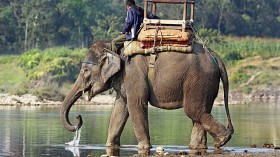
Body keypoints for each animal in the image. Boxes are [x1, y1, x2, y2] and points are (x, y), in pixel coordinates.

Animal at [60, 40, 234, 150]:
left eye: (85, 70)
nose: (78, 117)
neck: (113, 47)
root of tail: (214, 54)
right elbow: (120, 108)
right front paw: (110, 145)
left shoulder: (133, 73)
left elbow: (135, 104)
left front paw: (144, 147)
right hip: (206, 83)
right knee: (200, 112)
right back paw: (198, 146)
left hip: (200, 79)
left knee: (193, 111)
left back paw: (221, 141)